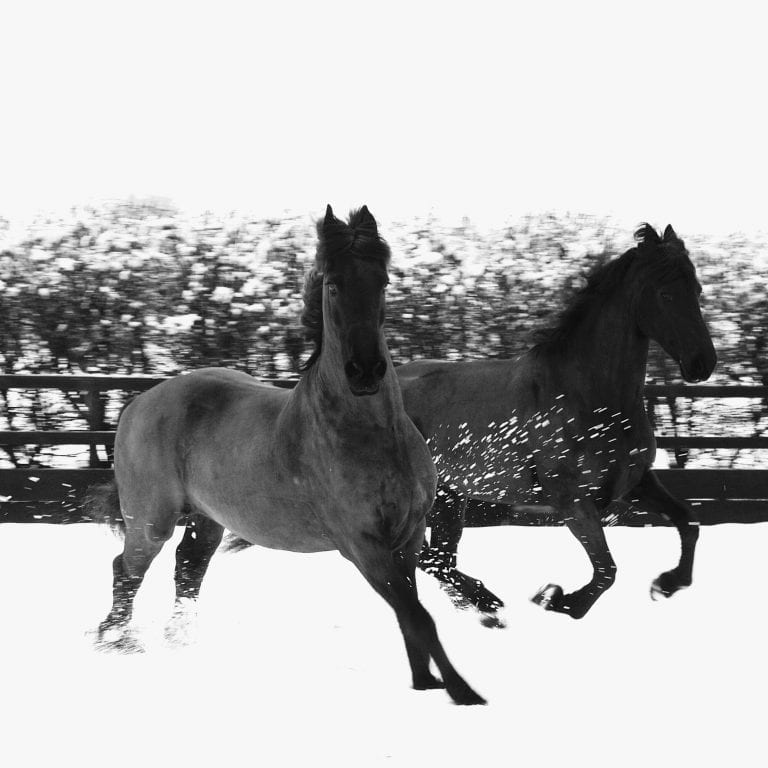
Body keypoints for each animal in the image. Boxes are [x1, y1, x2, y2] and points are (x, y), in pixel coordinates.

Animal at [92, 205, 485, 706]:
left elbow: (410, 612)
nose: (365, 372)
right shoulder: (362, 544)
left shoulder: (408, 537)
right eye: (333, 284)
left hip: (207, 519)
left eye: (382, 280)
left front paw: (425, 682)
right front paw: (461, 691)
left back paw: (174, 642)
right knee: (128, 568)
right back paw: (117, 639)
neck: (373, 435)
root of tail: (139, 401)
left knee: (188, 568)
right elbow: (417, 615)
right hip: (150, 518)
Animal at [398, 223, 717, 620]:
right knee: (423, 556)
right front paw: (556, 598)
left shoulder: (637, 481)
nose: (703, 363)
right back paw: (489, 602)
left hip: (450, 497)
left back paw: (485, 607)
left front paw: (667, 584)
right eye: (665, 293)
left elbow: (688, 521)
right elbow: (606, 570)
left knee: (440, 558)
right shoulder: (571, 501)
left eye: (697, 289)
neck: (588, 395)